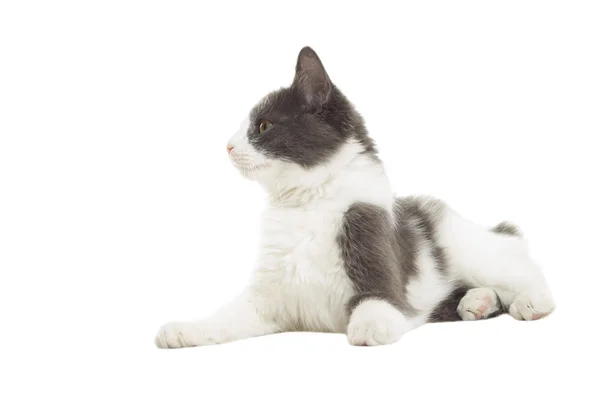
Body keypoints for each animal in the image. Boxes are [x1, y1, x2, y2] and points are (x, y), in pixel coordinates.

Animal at [156, 45, 556, 348]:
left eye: (264, 126)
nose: (227, 146)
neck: (307, 204)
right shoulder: (266, 301)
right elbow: (225, 317)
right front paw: (184, 329)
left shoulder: (374, 247)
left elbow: (377, 302)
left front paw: (369, 324)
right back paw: (477, 302)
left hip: (469, 248)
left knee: (524, 269)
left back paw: (530, 301)